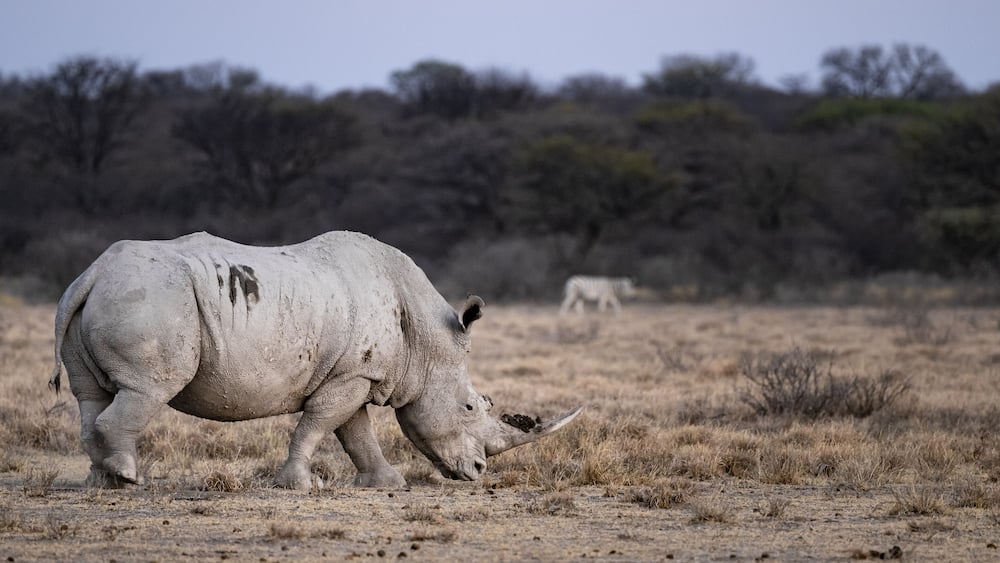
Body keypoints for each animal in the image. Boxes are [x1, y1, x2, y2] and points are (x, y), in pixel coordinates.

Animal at [50, 231, 581, 489]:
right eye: (471, 407)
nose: (477, 472)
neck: (426, 342)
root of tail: (93, 273)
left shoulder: (358, 372)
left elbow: (354, 432)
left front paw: (385, 484)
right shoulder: (352, 373)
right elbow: (321, 424)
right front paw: (300, 485)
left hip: (109, 298)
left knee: (91, 394)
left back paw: (101, 482)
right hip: (153, 300)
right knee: (148, 387)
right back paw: (127, 478)